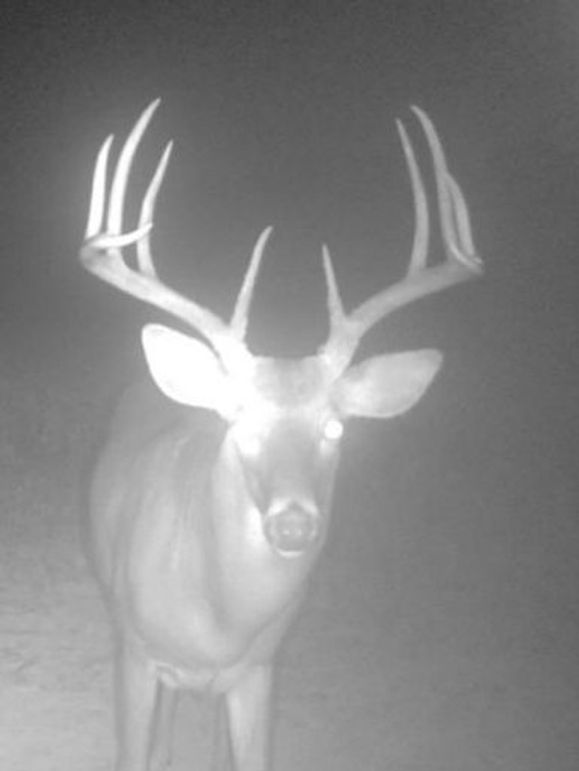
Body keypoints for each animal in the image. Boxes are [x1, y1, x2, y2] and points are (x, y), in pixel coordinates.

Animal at [80, 100, 482, 771]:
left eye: (336, 426)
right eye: (238, 420)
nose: (294, 524)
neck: (216, 625)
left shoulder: (259, 669)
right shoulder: (134, 653)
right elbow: (136, 753)